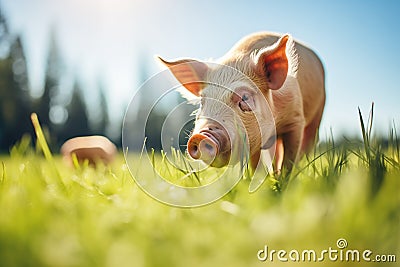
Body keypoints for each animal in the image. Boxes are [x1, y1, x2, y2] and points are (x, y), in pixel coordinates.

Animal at [159, 32, 324, 173]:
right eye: (202, 101)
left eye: (244, 98)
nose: (201, 136)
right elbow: (256, 164)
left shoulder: (296, 120)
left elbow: (289, 159)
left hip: (319, 112)